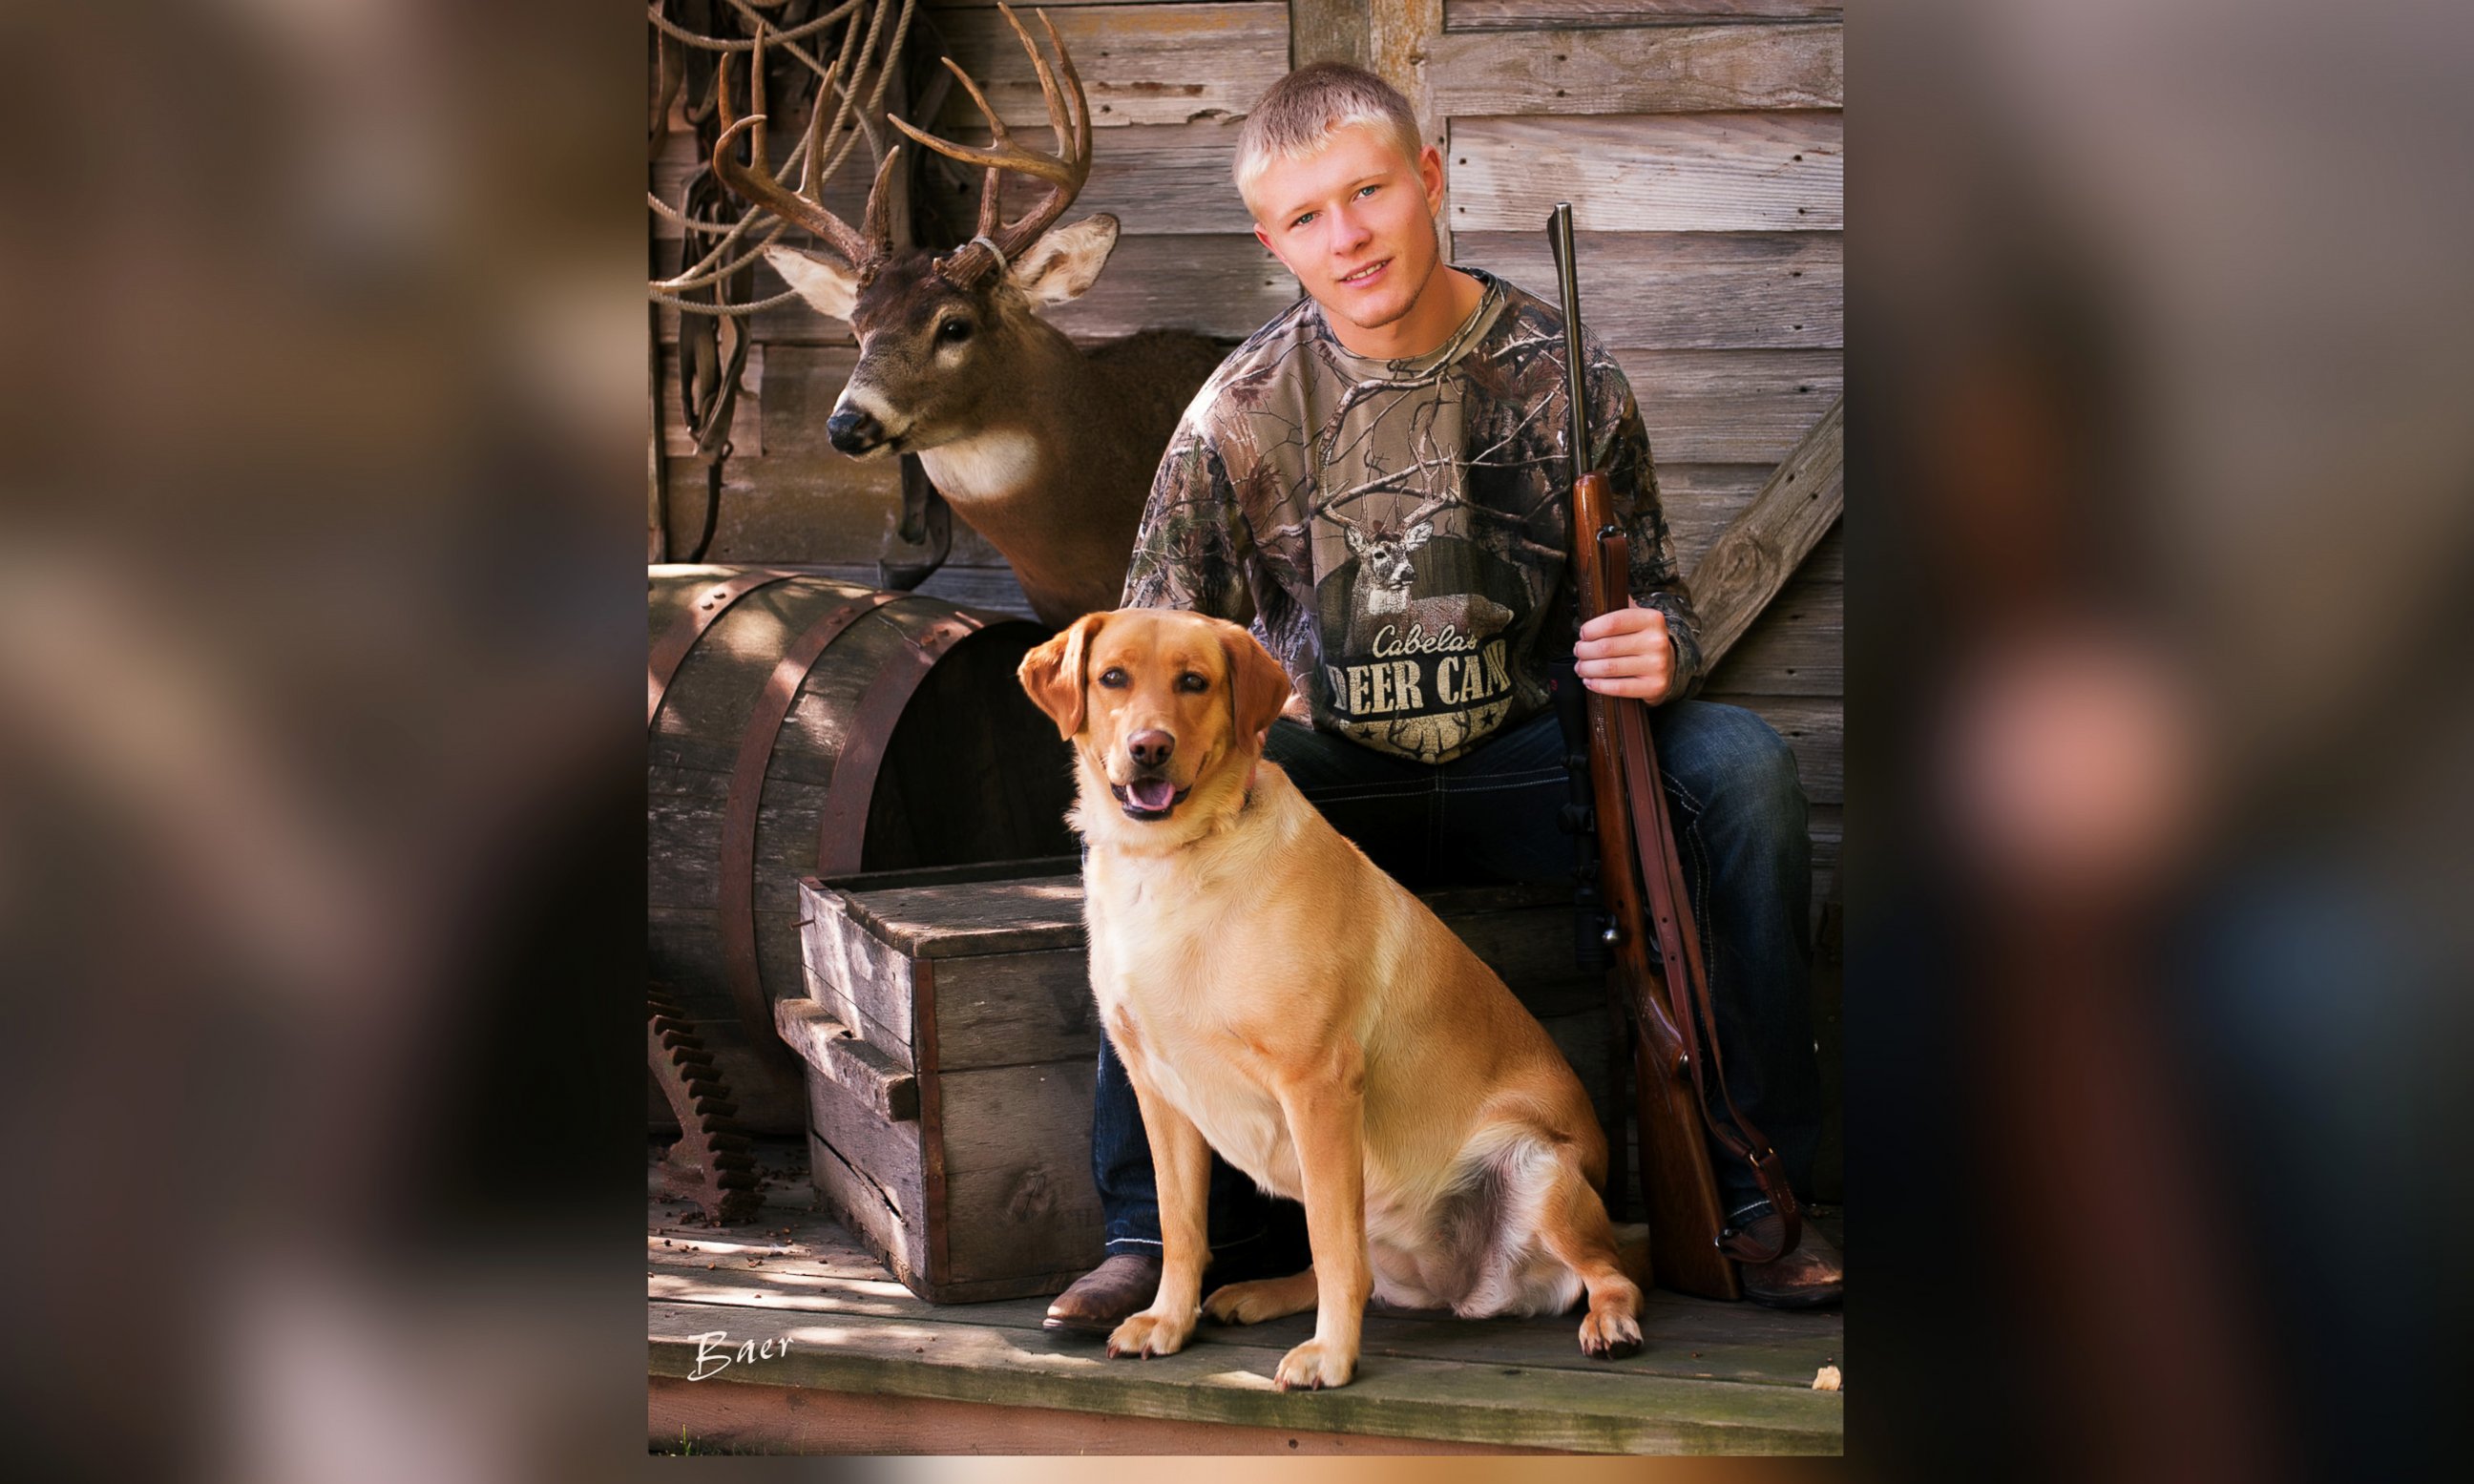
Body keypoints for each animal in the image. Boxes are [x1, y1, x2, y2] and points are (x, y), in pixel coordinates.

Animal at [1014, 605, 1632, 1394]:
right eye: (1112, 677)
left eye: (1194, 682)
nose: (1148, 748)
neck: (1173, 861)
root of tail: (1468, 1290)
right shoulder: (1159, 1091)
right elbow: (1182, 1226)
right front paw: (1168, 1320)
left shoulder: (1319, 1084)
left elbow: (1335, 1247)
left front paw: (1332, 1354)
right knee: (1361, 1268)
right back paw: (1258, 1292)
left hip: (1539, 1171)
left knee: (1609, 1269)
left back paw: (1611, 1321)